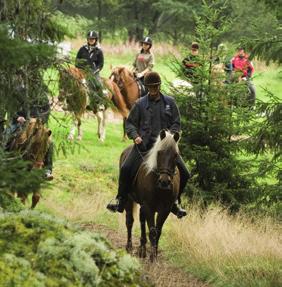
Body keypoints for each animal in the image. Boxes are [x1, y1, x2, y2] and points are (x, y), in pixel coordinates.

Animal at [121, 130, 181, 264]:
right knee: (129, 221)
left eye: (176, 155)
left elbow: (158, 231)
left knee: (141, 221)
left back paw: (142, 250)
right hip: (129, 199)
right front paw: (152, 257)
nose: (164, 182)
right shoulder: (149, 207)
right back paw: (129, 247)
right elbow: (153, 231)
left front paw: (154, 254)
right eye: (159, 153)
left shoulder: (165, 209)